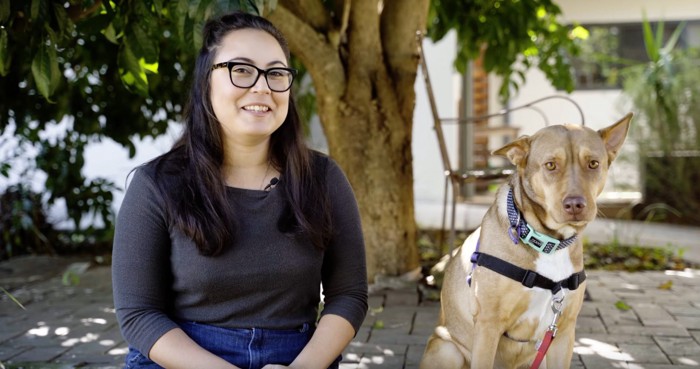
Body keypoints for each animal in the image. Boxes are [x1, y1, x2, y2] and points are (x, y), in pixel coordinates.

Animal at [422, 113, 636, 366]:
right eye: (550, 165)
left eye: (593, 163)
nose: (575, 205)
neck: (549, 244)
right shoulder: (488, 325)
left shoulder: (563, 331)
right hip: (448, 349)